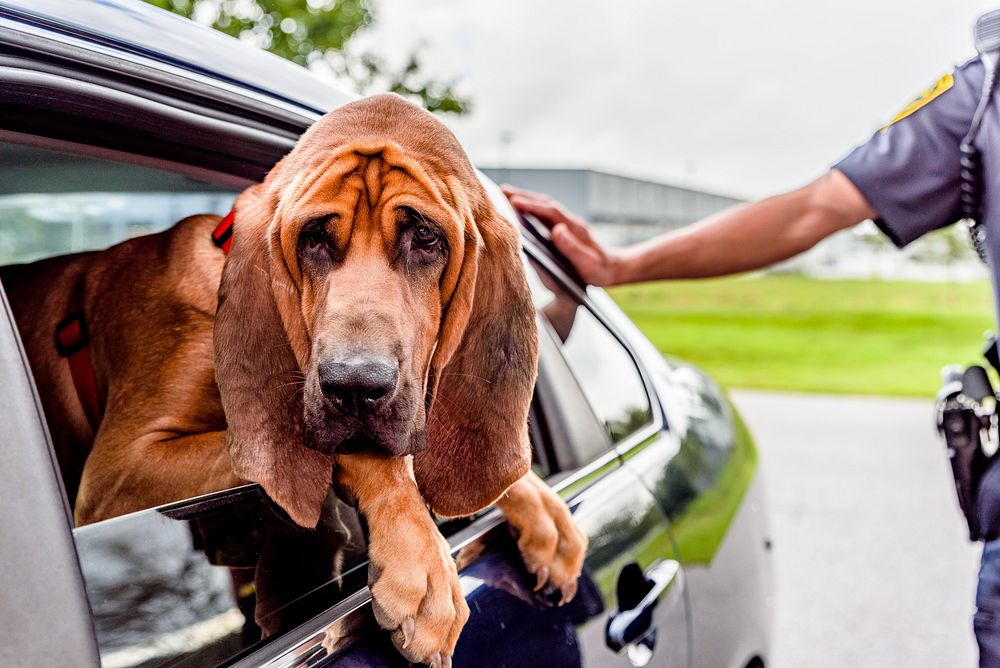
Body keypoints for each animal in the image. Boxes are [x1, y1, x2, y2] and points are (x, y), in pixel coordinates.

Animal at [1, 92, 584, 664]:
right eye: (313, 238)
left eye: (425, 237)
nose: (353, 386)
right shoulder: (119, 475)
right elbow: (368, 459)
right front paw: (423, 561)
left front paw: (540, 509)